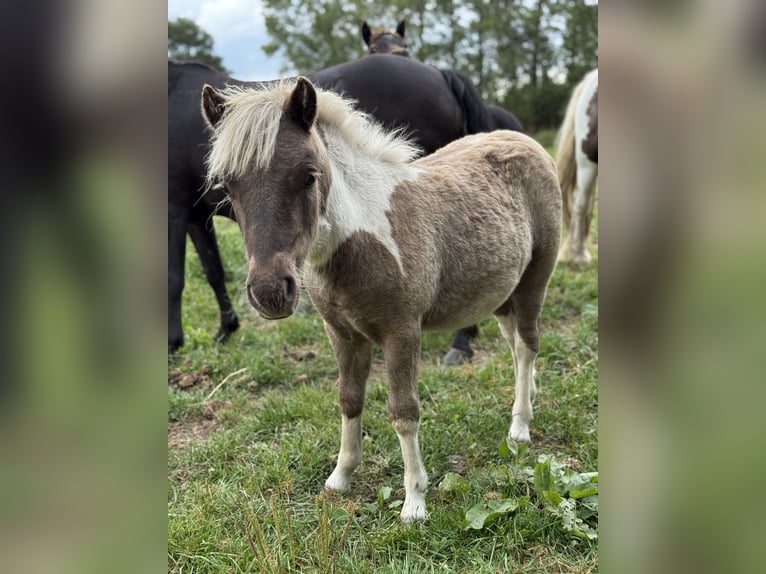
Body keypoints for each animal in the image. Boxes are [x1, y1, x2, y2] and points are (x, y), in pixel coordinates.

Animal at [169, 56, 497, 359]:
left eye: (309, 176)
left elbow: (175, 277)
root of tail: (438, 72)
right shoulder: (196, 217)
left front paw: (173, 343)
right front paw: (225, 330)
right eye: (225, 186)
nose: (269, 292)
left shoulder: (174, 210)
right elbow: (213, 271)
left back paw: (461, 341)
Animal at [200, 77, 562, 522]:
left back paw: (520, 427)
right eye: (226, 185)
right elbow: (349, 399)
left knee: (527, 345)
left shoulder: (402, 332)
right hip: (501, 292)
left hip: (534, 279)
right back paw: (528, 401)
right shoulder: (341, 333)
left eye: (308, 175)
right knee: (514, 345)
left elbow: (403, 412)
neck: (360, 239)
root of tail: (524, 140)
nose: (270, 292)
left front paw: (415, 502)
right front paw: (340, 477)